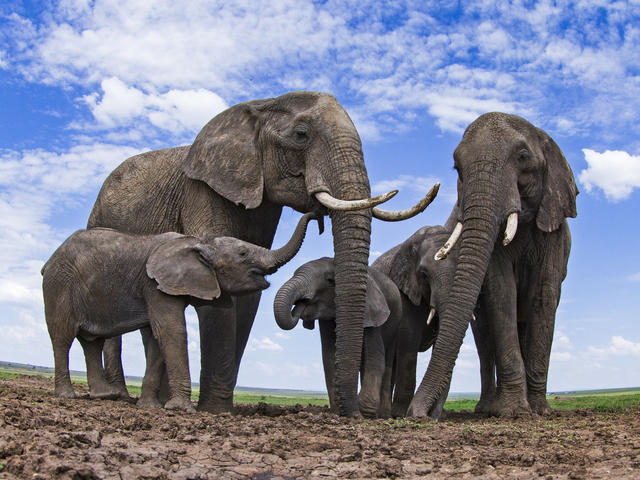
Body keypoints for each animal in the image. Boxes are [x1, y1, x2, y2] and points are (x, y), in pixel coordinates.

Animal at [41, 213, 317, 412]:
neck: (197, 241)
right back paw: (67, 395)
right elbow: (171, 330)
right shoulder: (153, 284)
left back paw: (104, 396)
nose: (315, 216)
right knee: (62, 337)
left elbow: (156, 338)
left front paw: (151, 408)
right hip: (59, 285)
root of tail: (50, 260)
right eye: (242, 253)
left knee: (92, 341)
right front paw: (181, 409)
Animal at [273, 257, 402, 418]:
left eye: (330, 281)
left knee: (387, 360)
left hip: (396, 322)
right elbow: (329, 357)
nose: (301, 304)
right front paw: (337, 411)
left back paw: (383, 416)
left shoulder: (372, 310)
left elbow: (375, 357)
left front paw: (365, 413)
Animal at [408, 112, 577, 418]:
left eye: (523, 156)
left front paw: (540, 411)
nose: (416, 414)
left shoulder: (554, 229)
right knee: (485, 341)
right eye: (457, 167)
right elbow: (502, 293)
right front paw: (513, 412)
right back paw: (487, 408)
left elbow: (544, 297)